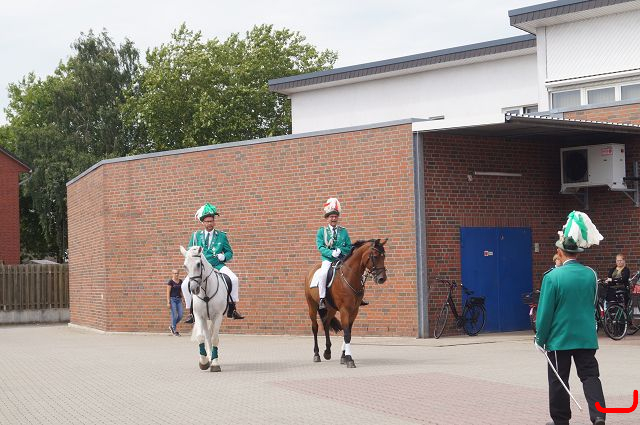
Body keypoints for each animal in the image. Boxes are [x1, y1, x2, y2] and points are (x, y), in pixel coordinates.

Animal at [304, 238, 388, 368]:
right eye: (375, 256)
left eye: (384, 256)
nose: (382, 279)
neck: (350, 277)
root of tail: (311, 271)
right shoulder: (344, 310)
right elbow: (347, 333)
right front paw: (349, 359)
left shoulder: (354, 311)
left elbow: (348, 333)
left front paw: (343, 357)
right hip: (312, 306)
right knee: (315, 327)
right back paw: (317, 354)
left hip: (331, 308)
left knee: (326, 323)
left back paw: (327, 352)